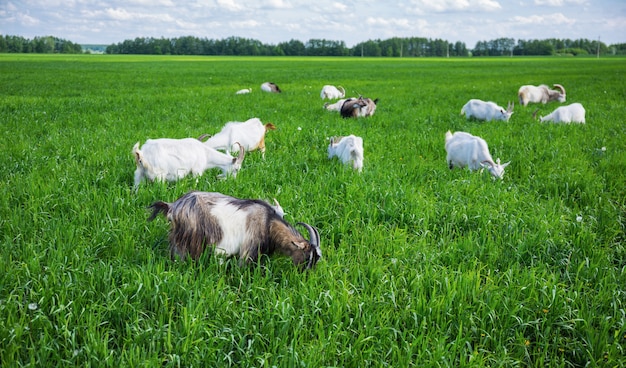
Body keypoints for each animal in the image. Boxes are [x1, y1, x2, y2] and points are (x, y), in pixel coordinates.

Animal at [147, 191, 322, 268]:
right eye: (307, 257)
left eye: (317, 259)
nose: (305, 275)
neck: (269, 222)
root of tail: (172, 206)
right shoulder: (249, 247)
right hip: (190, 237)